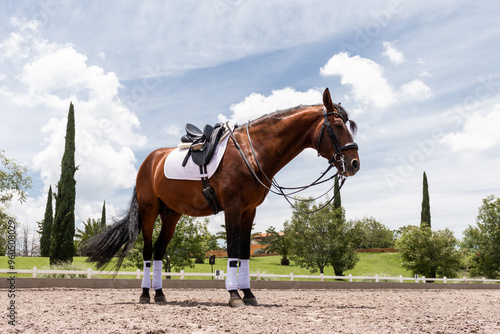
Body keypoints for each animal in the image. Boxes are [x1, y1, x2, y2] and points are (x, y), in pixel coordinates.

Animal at [85, 88, 360, 308]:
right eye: (337, 126)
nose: (354, 163)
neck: (251, 153)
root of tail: (149, 161)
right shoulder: (232, 207)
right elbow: (233, 250)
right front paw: (234, 295)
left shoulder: (249, 211)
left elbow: (245, 252)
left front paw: (248, 293)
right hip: (148, 212)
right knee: (147, 251)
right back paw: (144, 294)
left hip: (171, 215)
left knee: (160, 251)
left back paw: (160, 294)